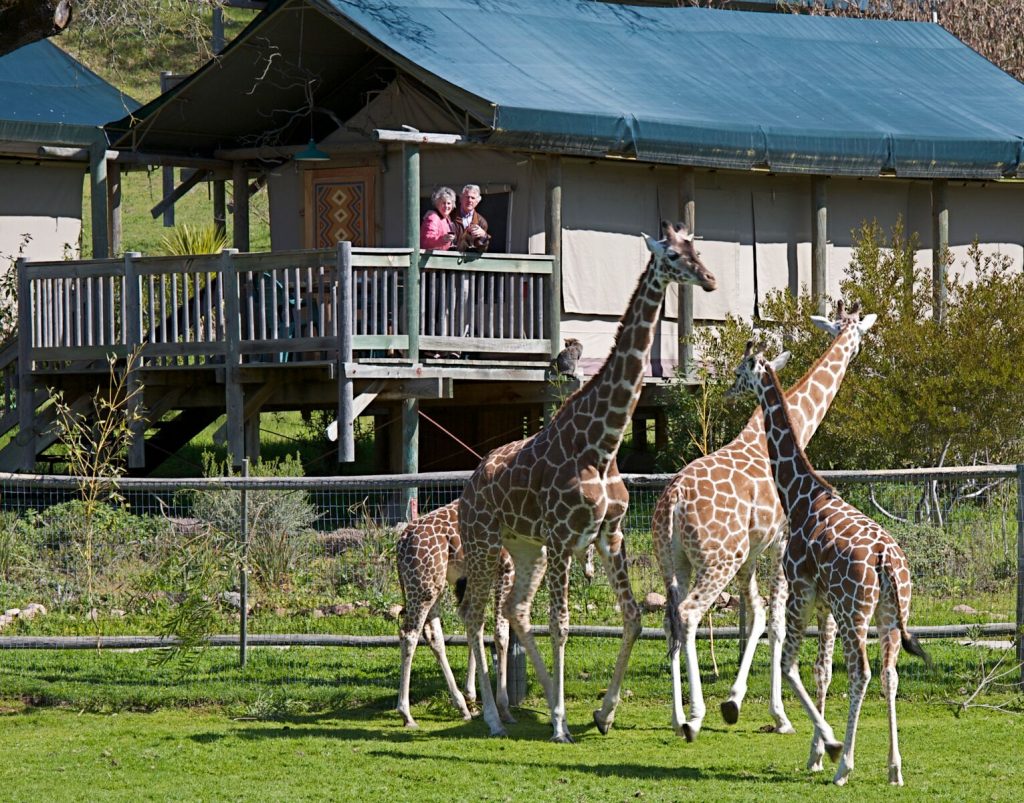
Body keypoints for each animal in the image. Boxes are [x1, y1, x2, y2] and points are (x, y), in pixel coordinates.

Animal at [395, 501, 516, 729]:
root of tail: (401, 542)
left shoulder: (469, 578)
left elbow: (474, 625)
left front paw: (472, 698)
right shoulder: (507, 567)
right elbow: (500, 633)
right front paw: (503, 708)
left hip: (433, 584)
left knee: (433, 635)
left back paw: (462, 706)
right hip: (424, 587)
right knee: (409, 634)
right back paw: (406, 715)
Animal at [460, 219, 716, 741]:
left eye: (696, 249)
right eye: (673, 256)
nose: (709, 280)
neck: (603, 445)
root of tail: (468, 488)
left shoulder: (609, 535)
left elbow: (633, 618)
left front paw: (603, 713)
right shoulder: (563, 538)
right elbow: (561, 624)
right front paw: (561, 724)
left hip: (525, 548)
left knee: (513, 611)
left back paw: (530, 703)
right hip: (484, 543)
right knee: (476, 617)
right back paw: (494, 717)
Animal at [651, 299, 876, 741]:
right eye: (856, 332)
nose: (727, 391)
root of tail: (673, 504)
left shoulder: (752, 553)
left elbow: (755, 616)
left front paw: (736, 700)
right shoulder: (780, 543)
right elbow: (774, 619)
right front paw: (778, 715)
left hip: (674, 562)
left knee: (670, 620)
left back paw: (675, 716)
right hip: (716, 559)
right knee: (689, 615)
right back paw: (695, 715)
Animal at [729, 342, 937, 786]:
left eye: (740, 372)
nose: (728, 390)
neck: (801, 494)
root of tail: (886, 561)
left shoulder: (802, 592)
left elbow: (790, 665)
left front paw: (829, 745)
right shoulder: (824, 604)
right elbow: (821, 671)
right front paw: (815, 754)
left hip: (854, 611)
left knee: (862, 672)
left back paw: (846, 766)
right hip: (890, 614)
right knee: (889, 675)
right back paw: (895, 768)